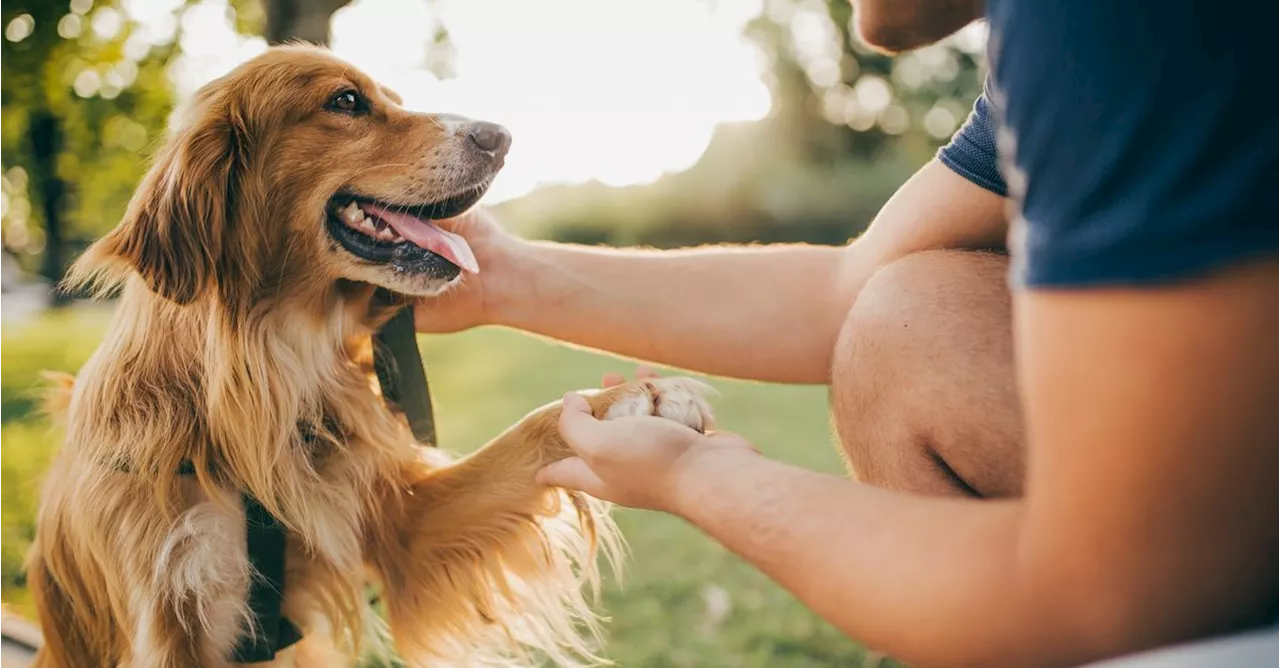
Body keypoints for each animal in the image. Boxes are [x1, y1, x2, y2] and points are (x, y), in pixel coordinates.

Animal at [27, 44, 711, 660]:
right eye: (347, 102)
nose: (502, 137)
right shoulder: (169, 616)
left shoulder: (398, 523)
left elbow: (528, 432)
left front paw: (633, 399)